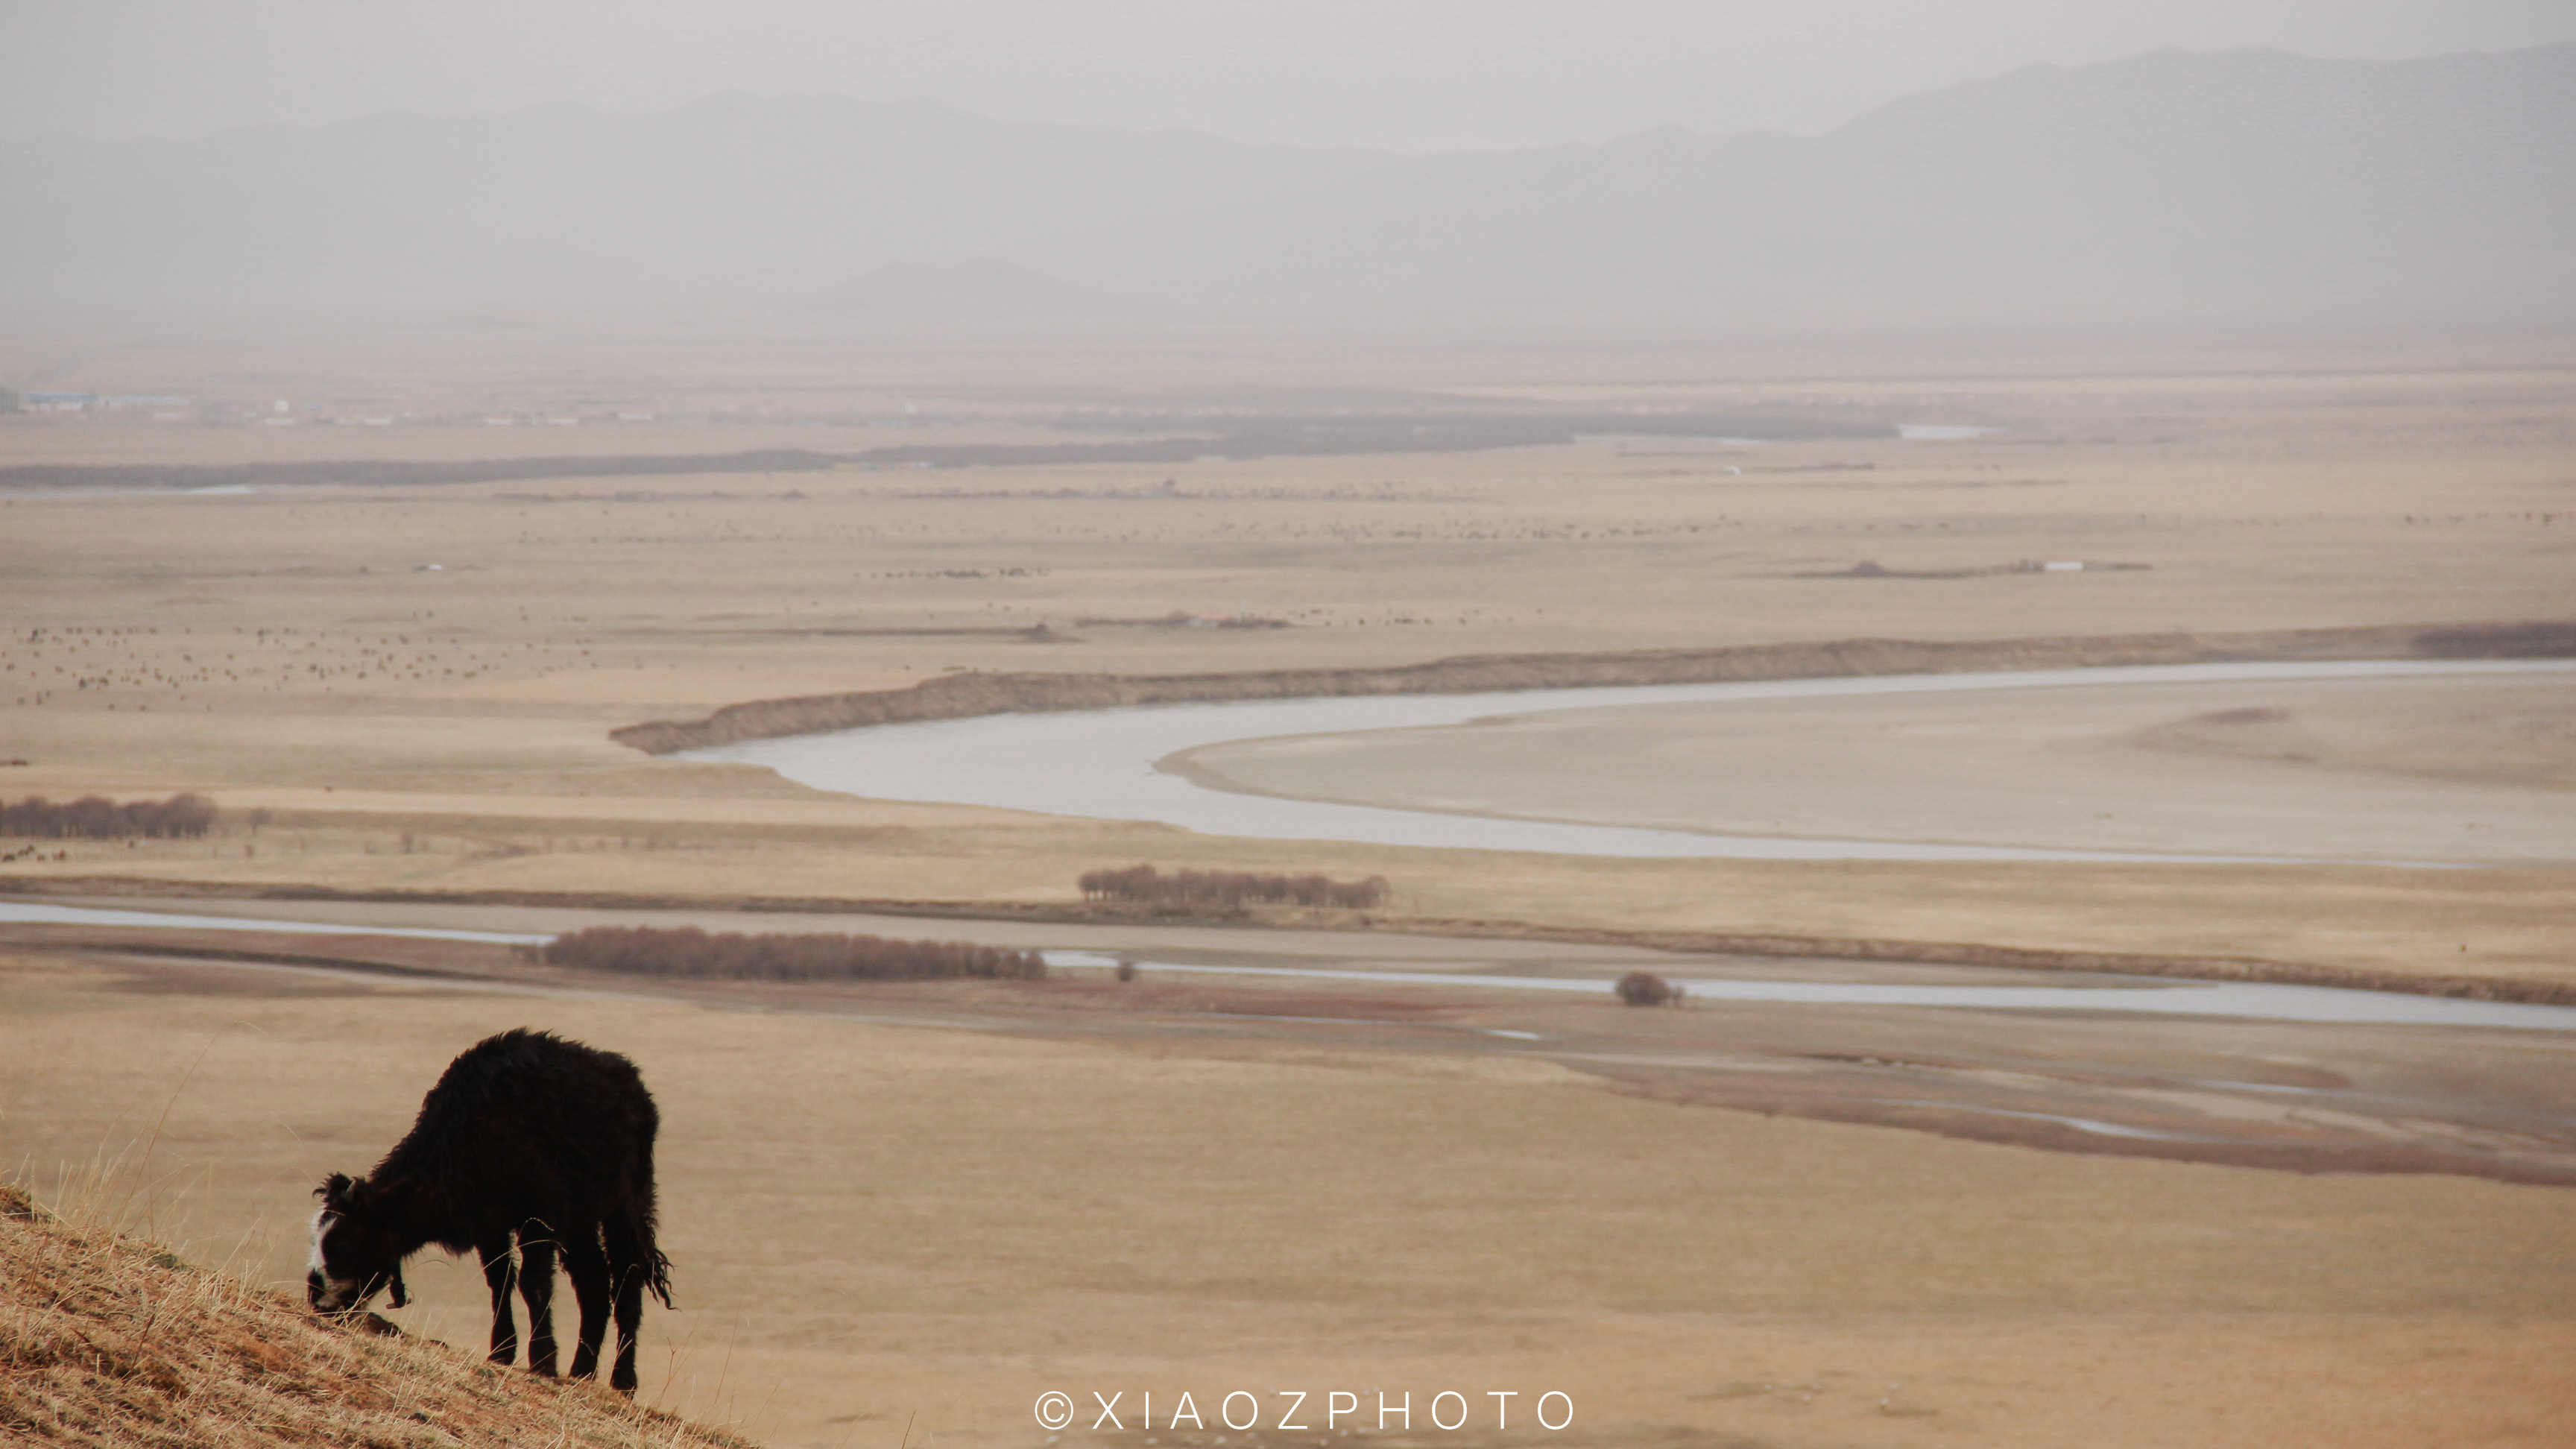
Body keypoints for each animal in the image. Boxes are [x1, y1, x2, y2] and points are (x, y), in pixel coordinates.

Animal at [308, 1028, 674, 1394]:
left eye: (345, 1244)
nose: (317, 1298)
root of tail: (636, 1087)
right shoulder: (491, 1225)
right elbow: (500, 1281)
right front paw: (501, 1352)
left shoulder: (537, 1217)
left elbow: (532, 1283)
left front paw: (543, 1361)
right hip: (580, 1223)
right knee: (593, 1282)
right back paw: (582, 1370)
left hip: (627, 1207)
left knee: (627, 1281)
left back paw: (623, 1380)